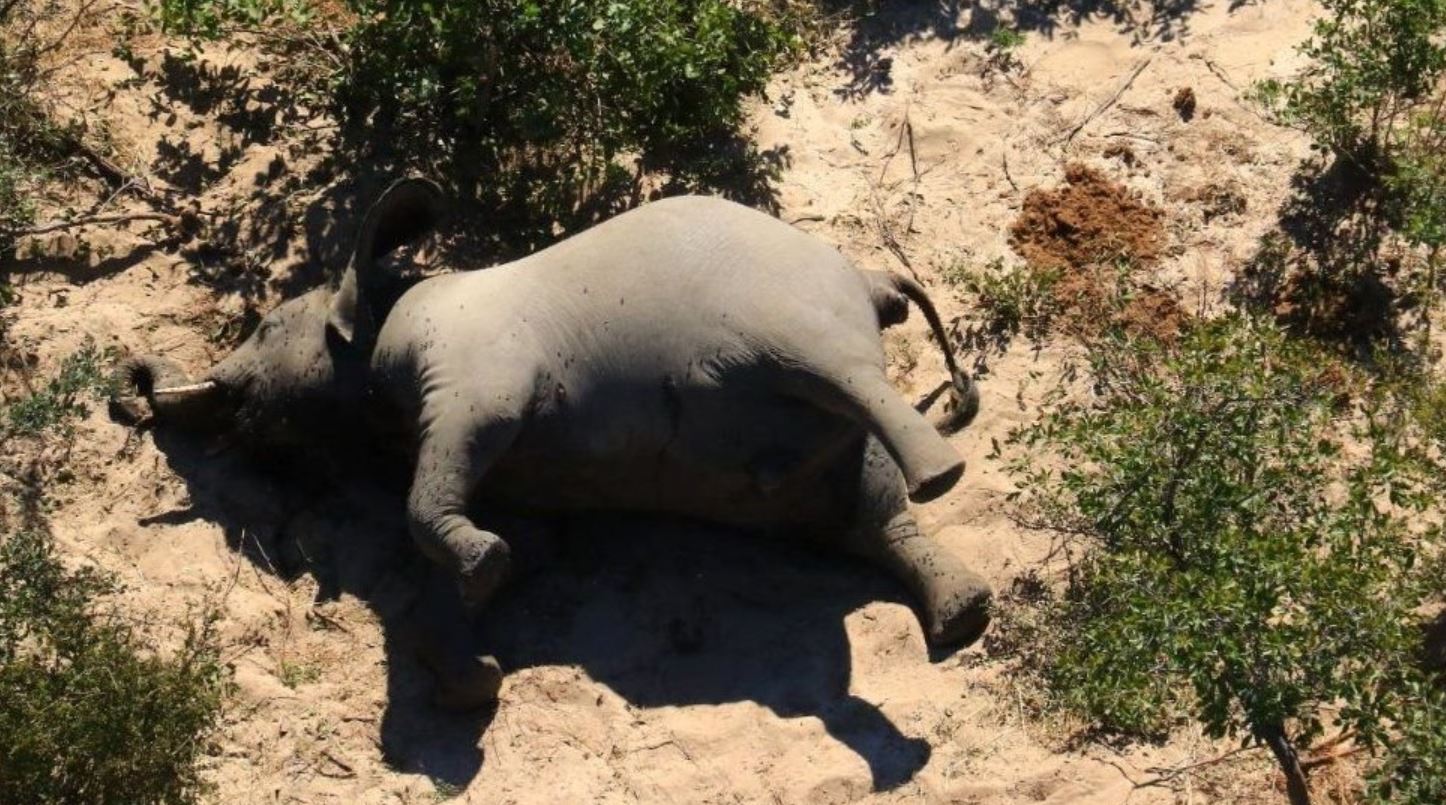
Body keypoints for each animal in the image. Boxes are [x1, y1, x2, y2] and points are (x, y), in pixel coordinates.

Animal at [118, 178, 993, 707]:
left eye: (268, 327)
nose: (129, 386)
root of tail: (872, 280)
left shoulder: (474, 374)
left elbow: (431, 493)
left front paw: (480, 576)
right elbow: (508, 544)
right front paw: (472, 667)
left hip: (799, 319)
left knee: (849, 384)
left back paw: (943, 479)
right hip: (819, 457)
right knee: (870, 515)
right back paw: (965, 616)